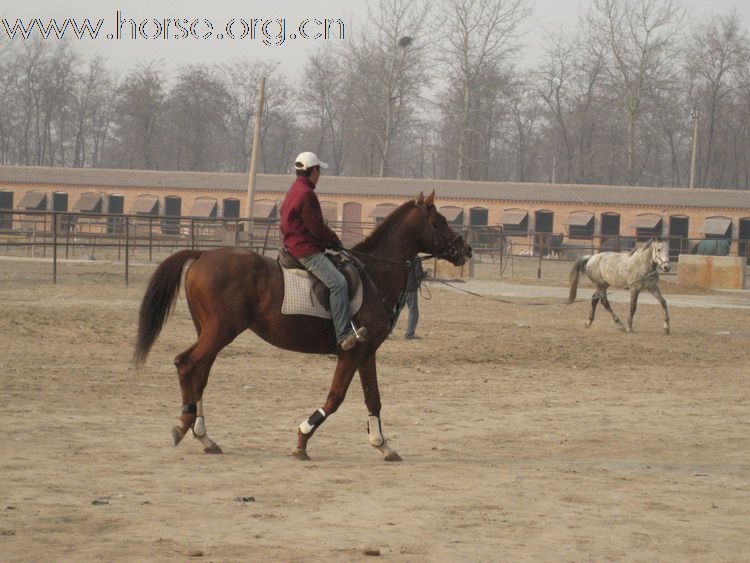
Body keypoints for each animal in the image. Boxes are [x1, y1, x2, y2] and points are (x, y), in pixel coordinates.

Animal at [133, 192, 472, 460]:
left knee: (199, 373)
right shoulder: (352, 351)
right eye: (440, 221)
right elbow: (335, 398)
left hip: (211, 332)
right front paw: (302, 439)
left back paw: (203, 435)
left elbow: (373, 398)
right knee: (187, 364)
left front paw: (382, 443)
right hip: (219, 331)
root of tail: (202, 254)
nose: (465, 250)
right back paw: (184, 425)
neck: (375, 273)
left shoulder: (367, 352)